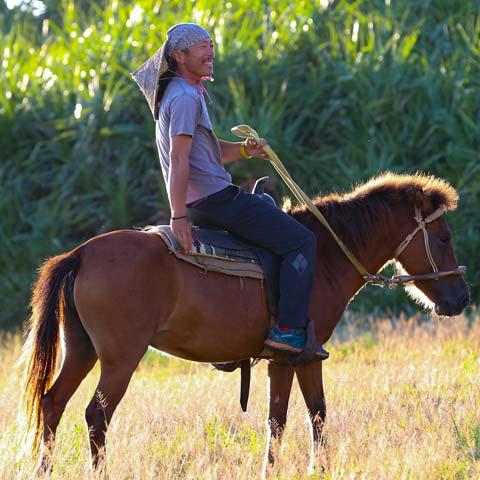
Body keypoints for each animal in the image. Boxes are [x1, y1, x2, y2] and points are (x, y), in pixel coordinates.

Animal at [21, 172, 468, 472]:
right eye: (443, 238)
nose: (462, 297)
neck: (324, 255)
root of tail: (81, 254)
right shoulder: (300, 357)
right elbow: (300, 417)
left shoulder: (285, 360)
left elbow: (295, 417)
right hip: (120, 359)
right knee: (96, 417)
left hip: (82, 349)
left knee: (53, 403)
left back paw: (44, 470)